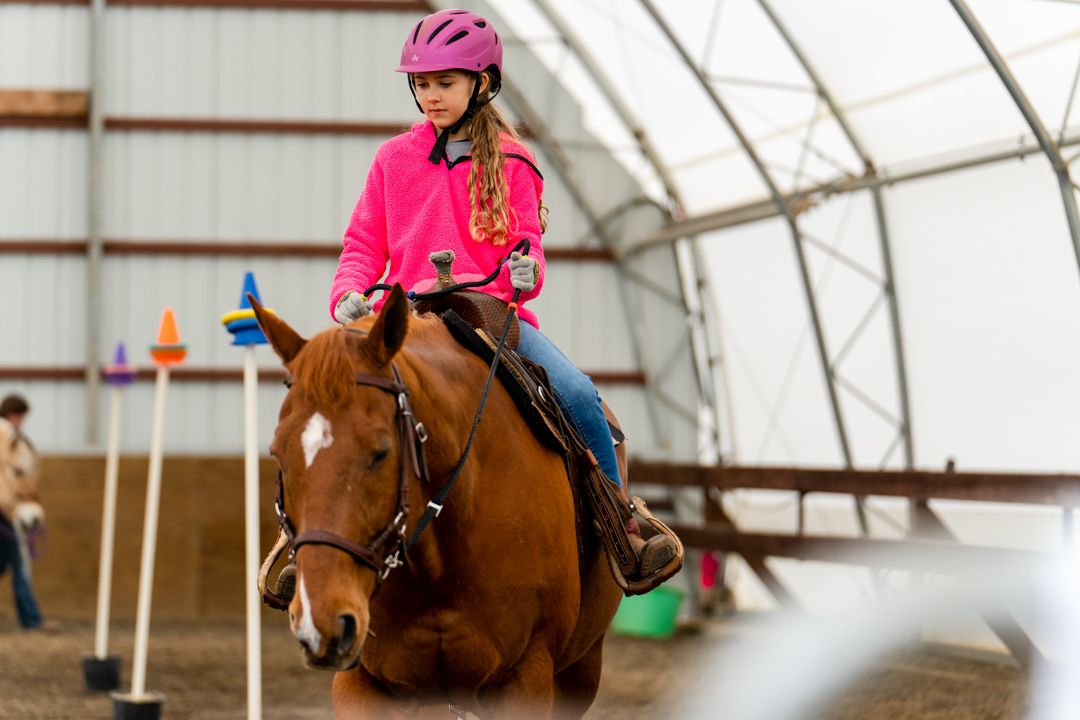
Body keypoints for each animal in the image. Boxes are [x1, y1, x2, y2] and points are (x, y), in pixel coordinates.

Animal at [251, 284, 624, 719]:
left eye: (381, 452)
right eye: (278, 453)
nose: (321, 622)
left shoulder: (528, 676)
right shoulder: (359, 682)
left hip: (581, 669)